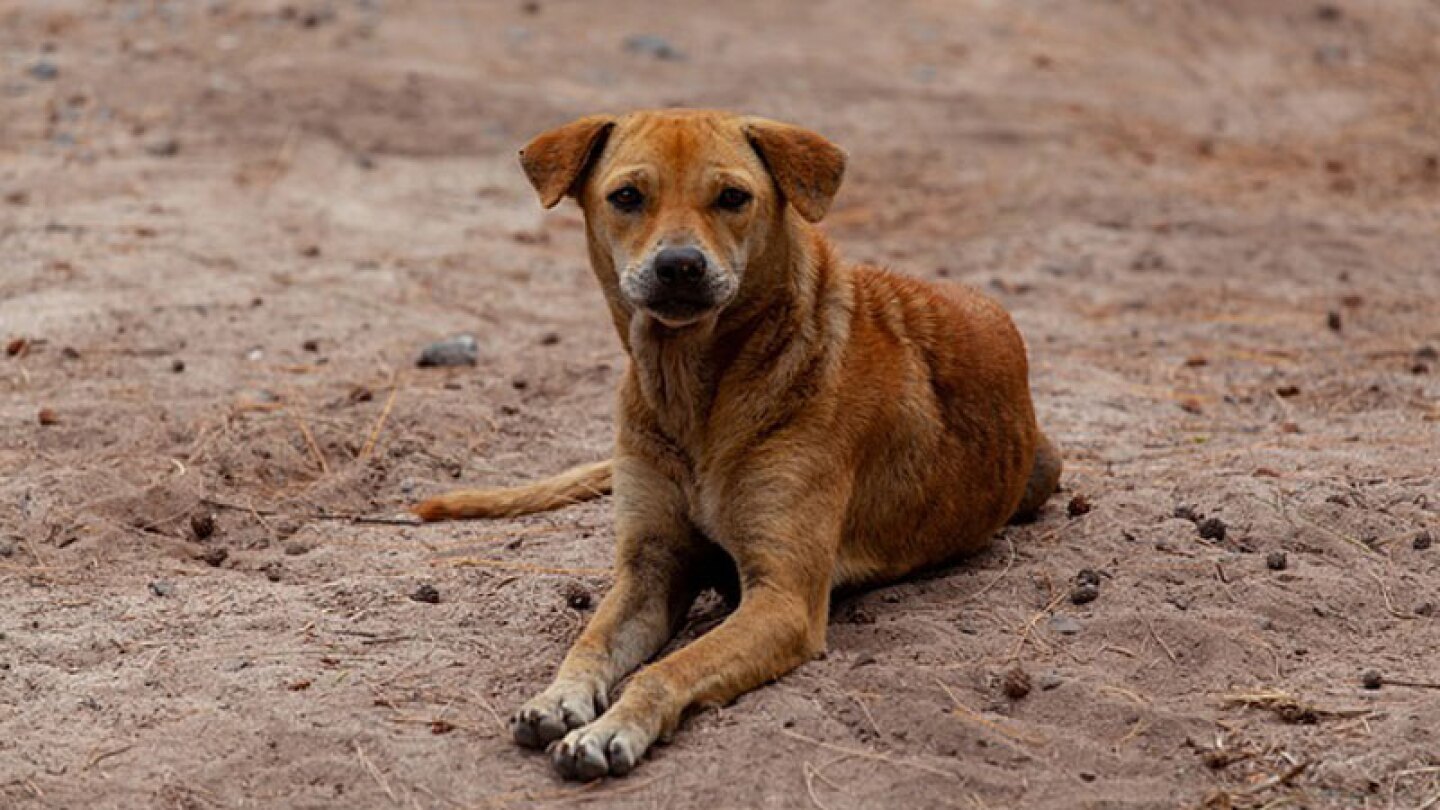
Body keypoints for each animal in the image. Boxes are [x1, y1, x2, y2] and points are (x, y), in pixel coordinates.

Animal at [411, 110, 1065, 778]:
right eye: (627, 196)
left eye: (732, 197)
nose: (679, 265)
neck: (693, 391)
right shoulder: (650, 568)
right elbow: (589, 641)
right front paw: (558, 697)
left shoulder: (783, 600)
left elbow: (666, 669)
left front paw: (612, 727)